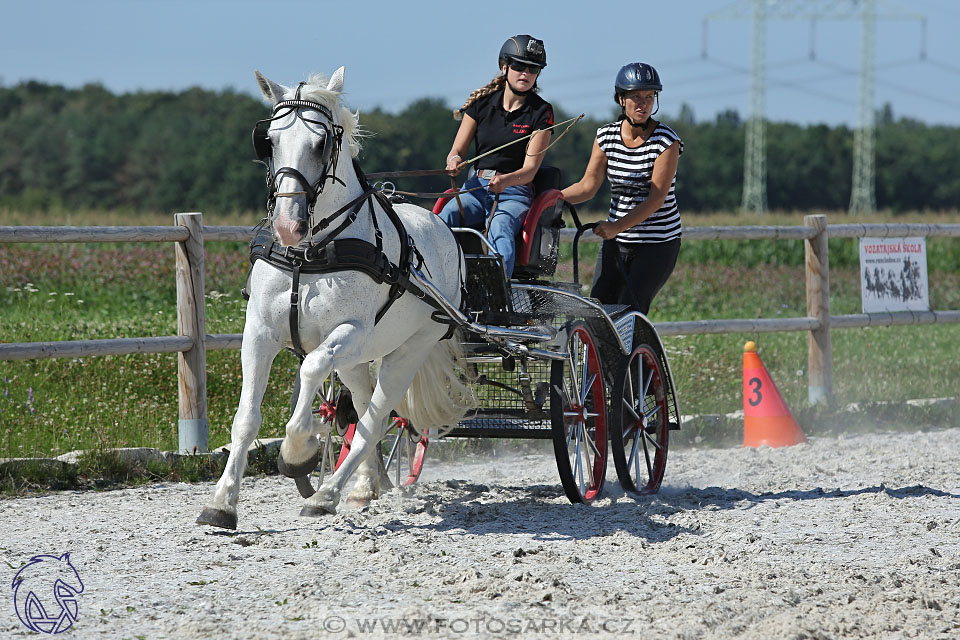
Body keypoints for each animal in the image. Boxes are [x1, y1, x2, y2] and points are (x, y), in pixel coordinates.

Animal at [198, 69, 472, 528]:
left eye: (321, 142)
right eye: (268, 140)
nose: (287, 225)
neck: (309, 253)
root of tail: (443, 228)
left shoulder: (351, 333)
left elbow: (310, 370)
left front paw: (298, 452)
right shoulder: (258, 333)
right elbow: (246, 418)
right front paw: (221, 503)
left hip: (407, 350)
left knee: (376, 418)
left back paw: (326, 494)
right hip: (360, 360)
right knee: (363, 410)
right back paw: (362, 488)